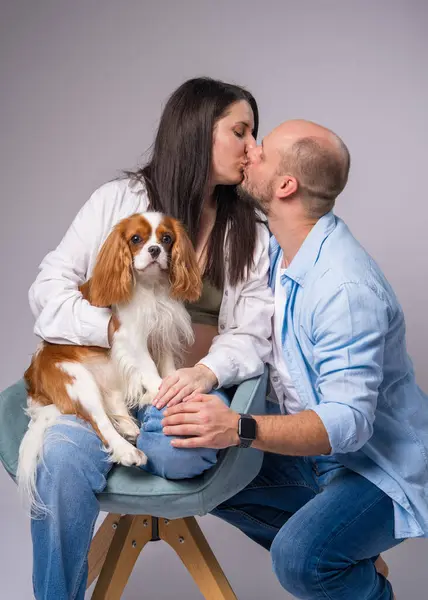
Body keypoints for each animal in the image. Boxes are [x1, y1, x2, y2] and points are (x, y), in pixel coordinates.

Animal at [17, 211, 201, 516]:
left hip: (106, 376)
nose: (155, 250)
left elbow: (166, 368)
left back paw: (128, 426)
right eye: (136, 239)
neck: (151, 288)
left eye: (166, 239)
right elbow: (151, 371)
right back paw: (127, 450)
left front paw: (169, 389)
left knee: (112, 403)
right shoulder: (130, 338)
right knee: (100, 420)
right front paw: (161, 392)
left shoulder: (161, 332)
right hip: (77, 379)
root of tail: (35, 387)